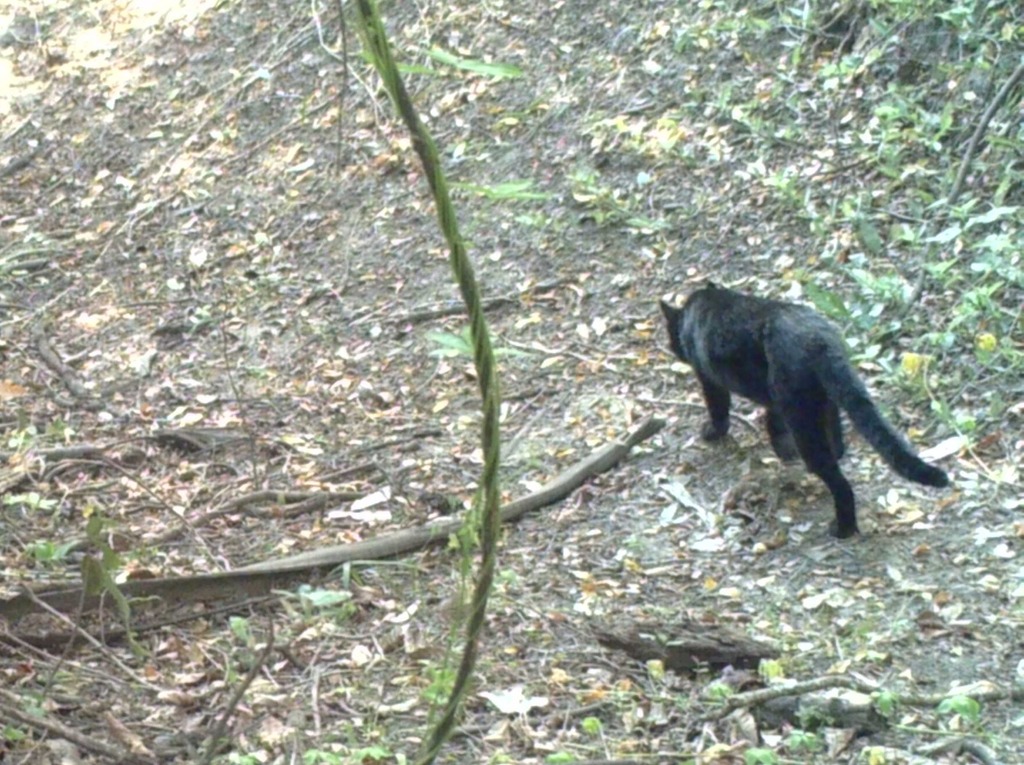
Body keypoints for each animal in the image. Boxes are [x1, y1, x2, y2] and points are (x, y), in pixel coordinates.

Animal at [659, 280, 946, 536]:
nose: (673, 346)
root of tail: (819, 340)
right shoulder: (773, 396)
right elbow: (773, 420)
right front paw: (783, 449)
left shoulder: (710, 378)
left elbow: (719, 408)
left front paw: (712, 432)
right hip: (825, 396)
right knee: (837, 441)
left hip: (801, 413)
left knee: (837, 479)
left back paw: (843, 528)